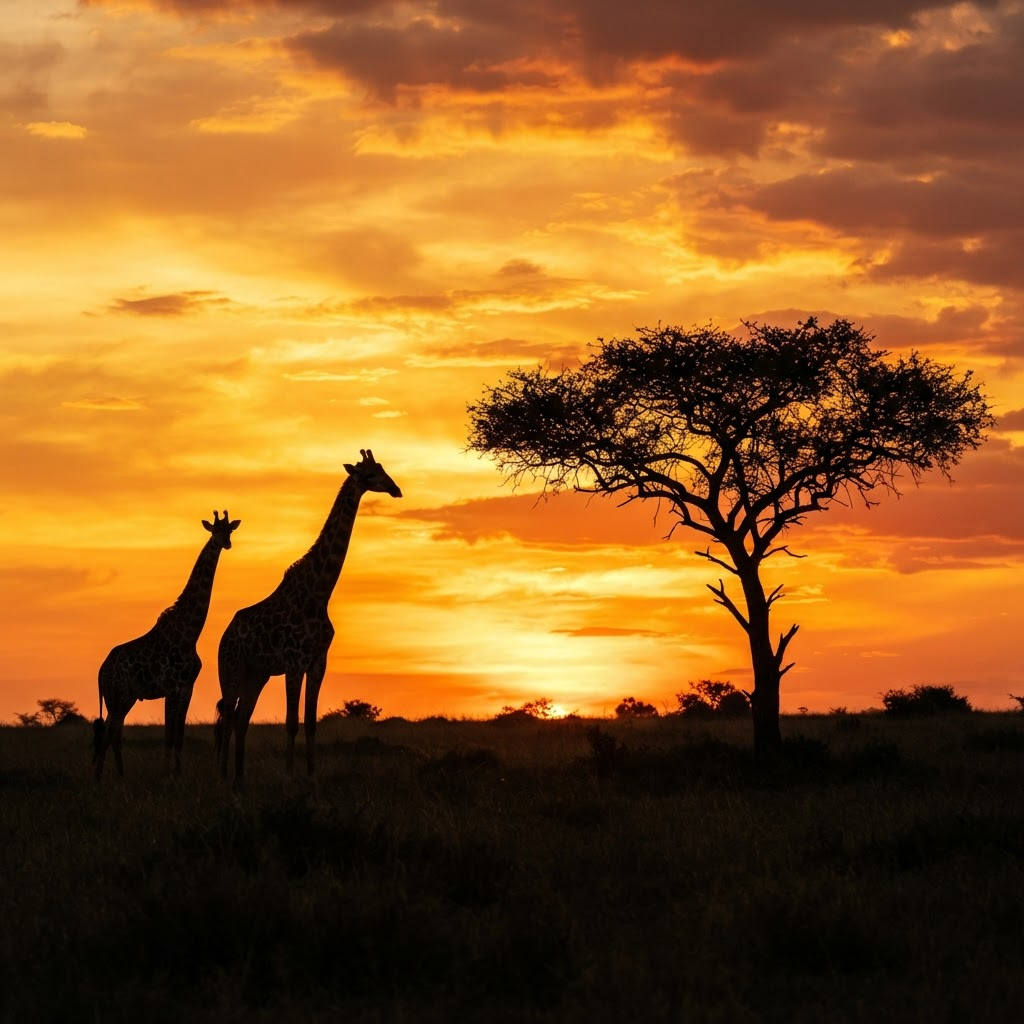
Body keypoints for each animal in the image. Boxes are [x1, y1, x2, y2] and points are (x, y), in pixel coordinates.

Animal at [94, 511, 240, 779]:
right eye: (215, 530)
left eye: (230, 530)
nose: (225, 543)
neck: (189, 633)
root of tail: (101, 671)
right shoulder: (171, 689)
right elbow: (168, 736)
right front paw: (165, 775)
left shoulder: (186, 689)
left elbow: (179, 737)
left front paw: (178, 774)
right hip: (117, 696)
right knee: (110, 733)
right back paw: (104, 778)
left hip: (124, 698)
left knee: (112, 732)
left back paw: (117, 775)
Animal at [215, 449, 401, 782]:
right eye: (369, 474)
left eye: (383, 469)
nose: (396, 489)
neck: (319, 594)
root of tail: (224, 636)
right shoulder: (294, 662)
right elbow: (291, 722)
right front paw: (289, 776)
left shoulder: (318, 662)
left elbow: (311, 723)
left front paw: (311, 775)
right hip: (231, 668)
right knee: (227, 718)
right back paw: (223, 777)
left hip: (256, 674)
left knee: (240, 718)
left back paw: (239, 777)